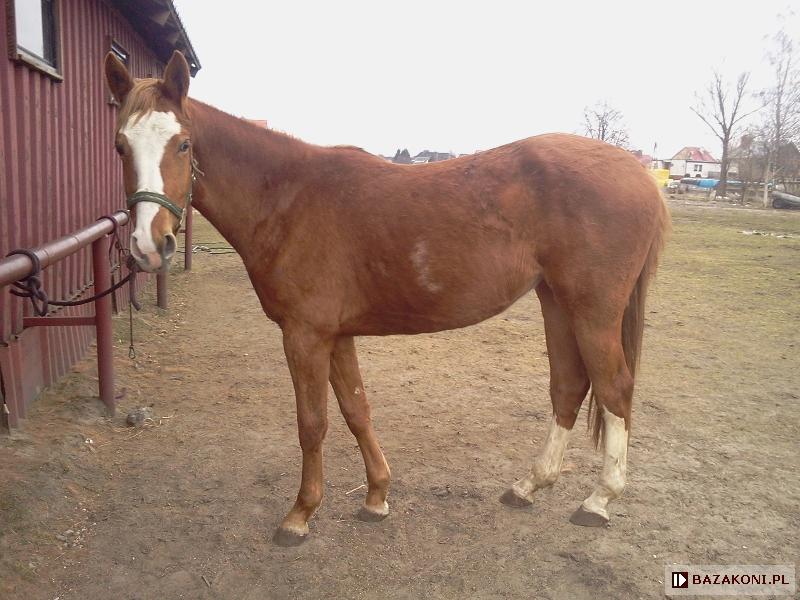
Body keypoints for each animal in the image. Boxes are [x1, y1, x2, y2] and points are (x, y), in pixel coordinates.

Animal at [104, 52, 668, 548]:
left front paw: (300, 515)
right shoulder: (336, 335)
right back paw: (529, 486)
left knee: (614, 388)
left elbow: (313, 423)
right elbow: (357, 410)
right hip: (556, 302)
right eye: (120, 147)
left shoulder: (305, 336)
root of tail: (639, 175)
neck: (288, 198)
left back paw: (599, 500)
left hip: (593, 311)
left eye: (182, 144)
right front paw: (376, 497)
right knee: (569, 385)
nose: (149, 246)